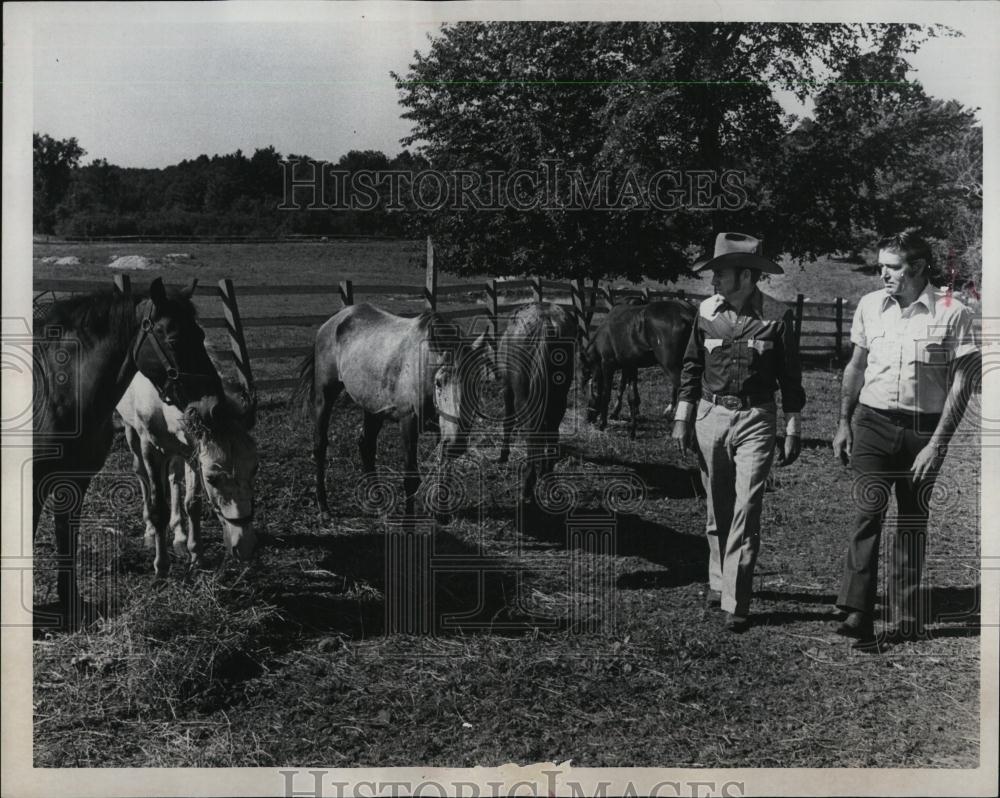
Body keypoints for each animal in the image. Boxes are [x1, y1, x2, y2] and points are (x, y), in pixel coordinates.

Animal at [34, 278, 225, 628]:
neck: (59, 393)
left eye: (201, 335)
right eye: (175, 339)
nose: (212, 406)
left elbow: (67, 536)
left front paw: (72, 603)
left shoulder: (75, 480)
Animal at [116, 372, 258, 580]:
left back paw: (180, 536)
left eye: (255, 468)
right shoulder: (150, 448)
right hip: (131, 430)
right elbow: (159, 507)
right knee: (140, 472)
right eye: (212, 478)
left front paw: (197, 556)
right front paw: (161, 567)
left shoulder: (192, 452)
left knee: (173, 476)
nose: (244, 547)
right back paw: (150, 532)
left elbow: (193, 504)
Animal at [580, 298, 696, 438]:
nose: (588, 418)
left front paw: (603, 424)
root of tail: (686, 314)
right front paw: (632, 430)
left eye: (587, 391)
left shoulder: (608, 365)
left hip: (671, 366)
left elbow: (606, 394)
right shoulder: (630, 366)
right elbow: (632, 397)